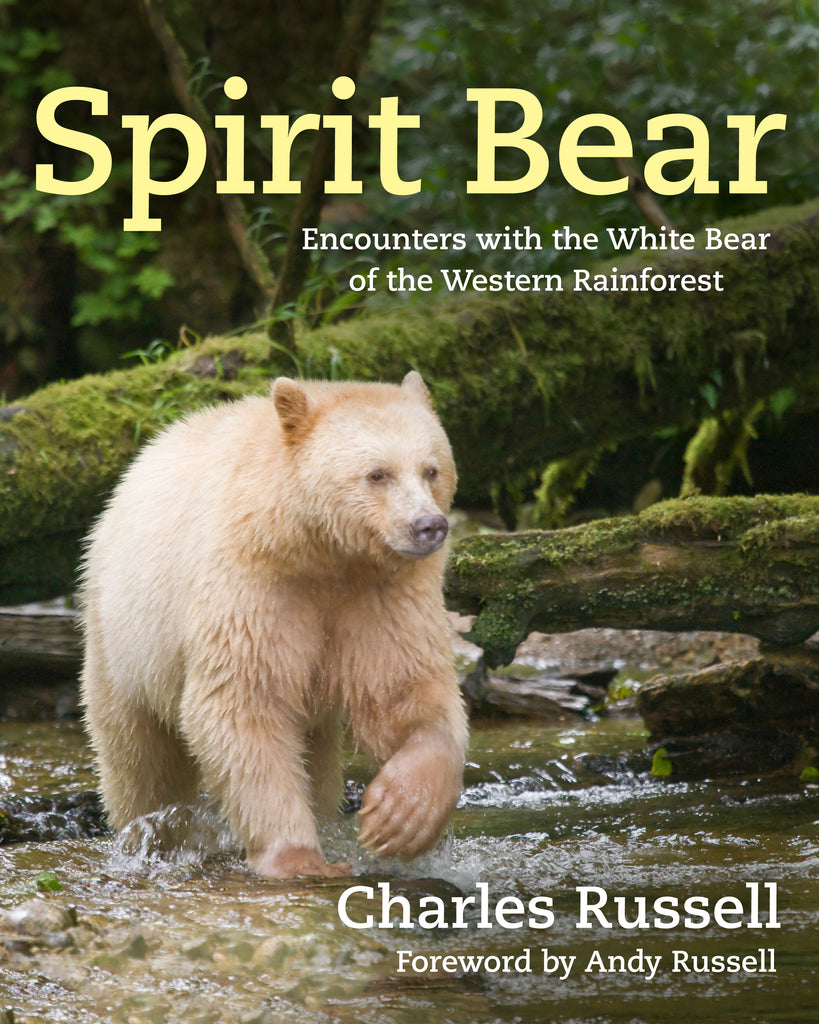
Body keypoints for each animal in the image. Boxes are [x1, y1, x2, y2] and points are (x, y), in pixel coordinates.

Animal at [79, 371, 468, 879]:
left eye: (431, 469)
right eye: (377, 474)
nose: (428, 525)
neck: (318, 551)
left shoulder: (382, 595)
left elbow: (403, 690)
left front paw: (399, 814)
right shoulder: (252, 585)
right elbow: (243, 703)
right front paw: (300, 859)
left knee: (317, 760)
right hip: (123, 634)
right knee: (140, 756)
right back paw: (151, 835)